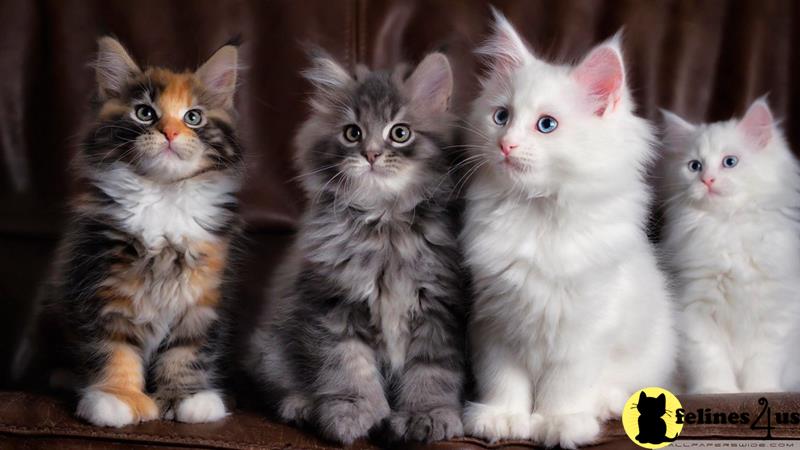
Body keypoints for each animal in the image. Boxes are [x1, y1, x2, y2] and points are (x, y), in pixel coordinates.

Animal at [18, 37, 241, 426]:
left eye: (193, 117)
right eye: (145, 113)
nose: (170, 133)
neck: (163, 196)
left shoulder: (202, 296)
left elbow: (187, 349)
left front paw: (187, 397)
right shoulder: (101, 285)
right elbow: (113, 348)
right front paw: (117, 398)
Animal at [247, 49, 466, 442]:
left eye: (400, 133)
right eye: (353, 133)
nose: (372, 154)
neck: (385, 223)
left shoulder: (439, 310)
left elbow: (431, 372)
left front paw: (427, 414)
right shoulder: (332, 305)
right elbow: (348, 365)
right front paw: (353, 413)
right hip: (273, 346)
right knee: (280, 386)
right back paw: (303, 405)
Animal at [460, 11, 680, 450]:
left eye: (546, 125)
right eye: (501, 117)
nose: (506, 144)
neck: (536, 214)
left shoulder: (583, 328)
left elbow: (563, 385)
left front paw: (556, 424)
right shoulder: (495, 320)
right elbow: (502, 379)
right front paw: (502, 419)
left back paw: (601, 405)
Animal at [656, 99, 800, 394]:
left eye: (729, 162)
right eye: (695, 166)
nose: (707, 180)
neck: (727, 226)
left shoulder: (777, 313)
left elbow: (763, 361)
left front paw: (761, 390)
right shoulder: (693, 309)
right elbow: (710, 359)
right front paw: (717, 391)